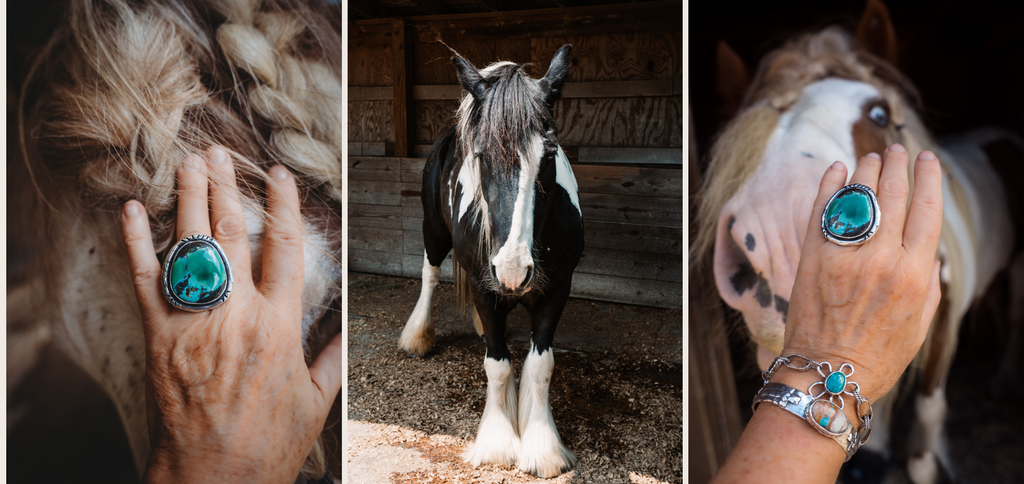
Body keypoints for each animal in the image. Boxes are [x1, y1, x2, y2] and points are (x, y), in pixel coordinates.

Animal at [397, 44, 585, 474]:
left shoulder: (558, 289)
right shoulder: (484, 286)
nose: (513, 270)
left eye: (549, 154)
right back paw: (417, 336)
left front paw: (542, 447)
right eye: (481, 155)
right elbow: (497, 366)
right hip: (434, 230)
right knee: (430, 274)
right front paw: (499, 444)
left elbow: (540, 366)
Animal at [692, 1, 1019, 480]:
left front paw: (927, 460)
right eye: (754, 130)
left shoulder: (944, 327)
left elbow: (928, 419)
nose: (779, 242)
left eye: (880, 114)